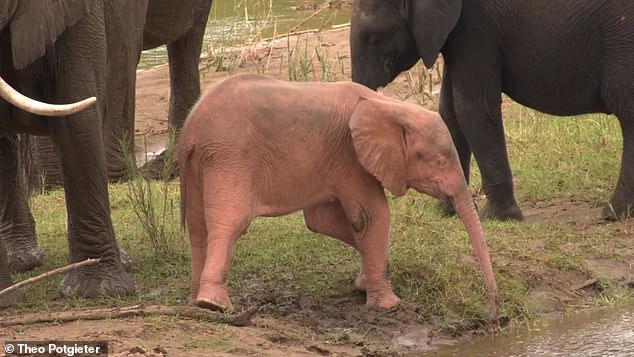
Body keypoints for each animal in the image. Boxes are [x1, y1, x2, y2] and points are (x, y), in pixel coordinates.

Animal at [178, 73, 498, 322]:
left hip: (202, 165)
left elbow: (323, 221)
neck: (389, 106)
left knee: (197, 227)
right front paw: (388, 306)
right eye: (440, 161)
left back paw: (196, 304)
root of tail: (190, 129)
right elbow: (371, 216)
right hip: (230, 157)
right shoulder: (351, 156)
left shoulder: (335, 161)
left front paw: (363, 285)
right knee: (230, 222)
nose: (496, 313)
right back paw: (214, 305)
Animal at [348, 0, 632, 220]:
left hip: (621, 38)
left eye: (374, 39)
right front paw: (448, 212)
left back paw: (613, 214)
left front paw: (497, 217)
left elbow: (472, 106)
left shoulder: (475, 28)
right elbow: (449, 111)